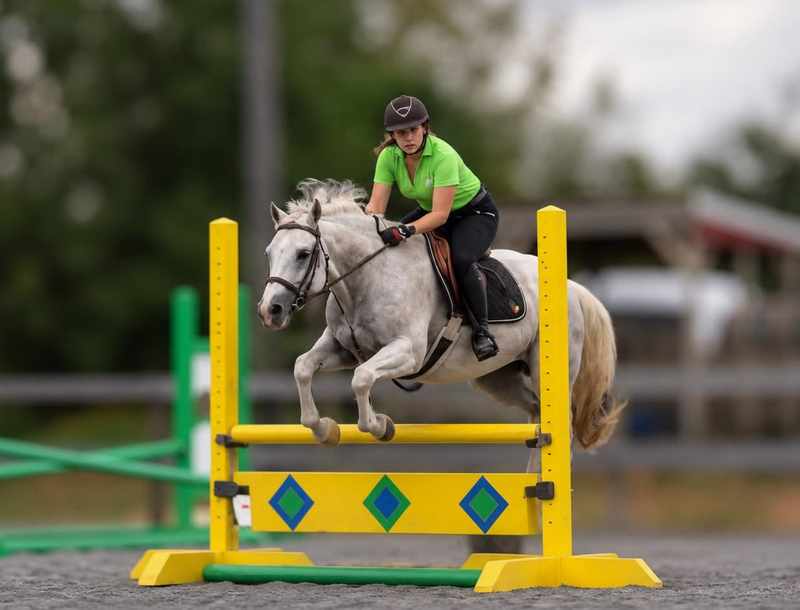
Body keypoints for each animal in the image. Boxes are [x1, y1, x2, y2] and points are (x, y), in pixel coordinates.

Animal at [257, 179, 624, 457]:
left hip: (545, 371)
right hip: (499, 378)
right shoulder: (342, 349)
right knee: (536, 422)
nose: (270, 310)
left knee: (557, 428)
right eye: (270, 253)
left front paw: (380, 425)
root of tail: (573, 288)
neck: (366, 279)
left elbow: (361, 379)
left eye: (304, 254)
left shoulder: (408, 351)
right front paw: (323, 428)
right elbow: (303, 367)